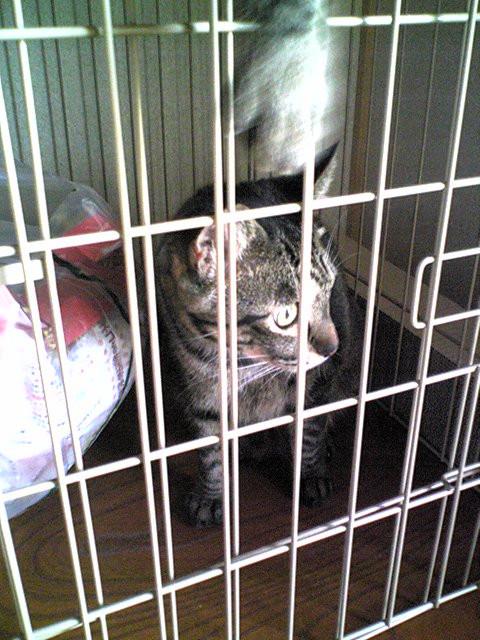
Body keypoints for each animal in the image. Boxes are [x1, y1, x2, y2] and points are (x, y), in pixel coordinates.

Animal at [156, 145, 359, 527]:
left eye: (329, 289)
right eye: (286, 315)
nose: (333, 347)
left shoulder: (318, 381)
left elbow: (309, 430)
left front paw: (310, 474)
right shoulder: (201, 390)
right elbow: (210, 450)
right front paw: (211, 493)